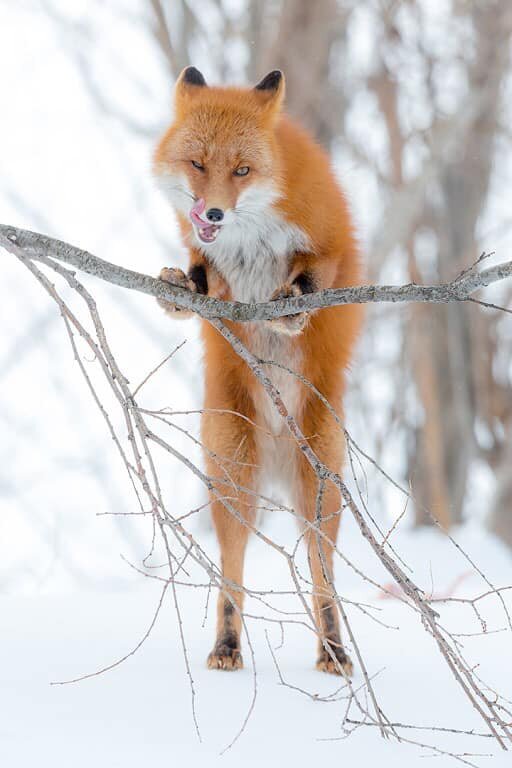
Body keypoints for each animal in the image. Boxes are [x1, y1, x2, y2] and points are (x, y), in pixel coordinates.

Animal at [154, 66, 363, 675]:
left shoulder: (331, 240)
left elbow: (315, 276)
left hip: (320, 489)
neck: (251, 236)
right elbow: (203, 281)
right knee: (233, 573)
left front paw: (292, 309)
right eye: (198, 163)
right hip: (232, 476)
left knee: (322, 577)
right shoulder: (216, 269)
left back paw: (333, 650)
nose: (213, 213)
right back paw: (226, 645)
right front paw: (179, 289)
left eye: (242, 170)